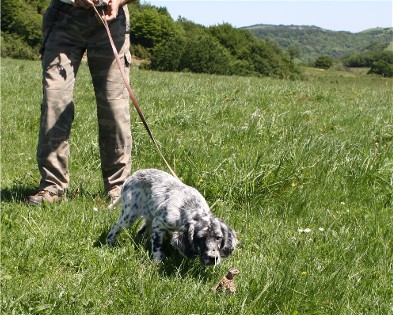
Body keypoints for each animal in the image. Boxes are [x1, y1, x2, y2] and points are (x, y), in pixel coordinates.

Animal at [105, 169, 237, 266]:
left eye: (219, 238)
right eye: (201, 237)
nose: (213, 258)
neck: (189, 207)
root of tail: (132, 176)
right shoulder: (159, 224)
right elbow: (157, 246)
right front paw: (157, 262)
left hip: (148, 217)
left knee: (141, 231)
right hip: (129, 215)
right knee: (115, 229)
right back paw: (109, 244)